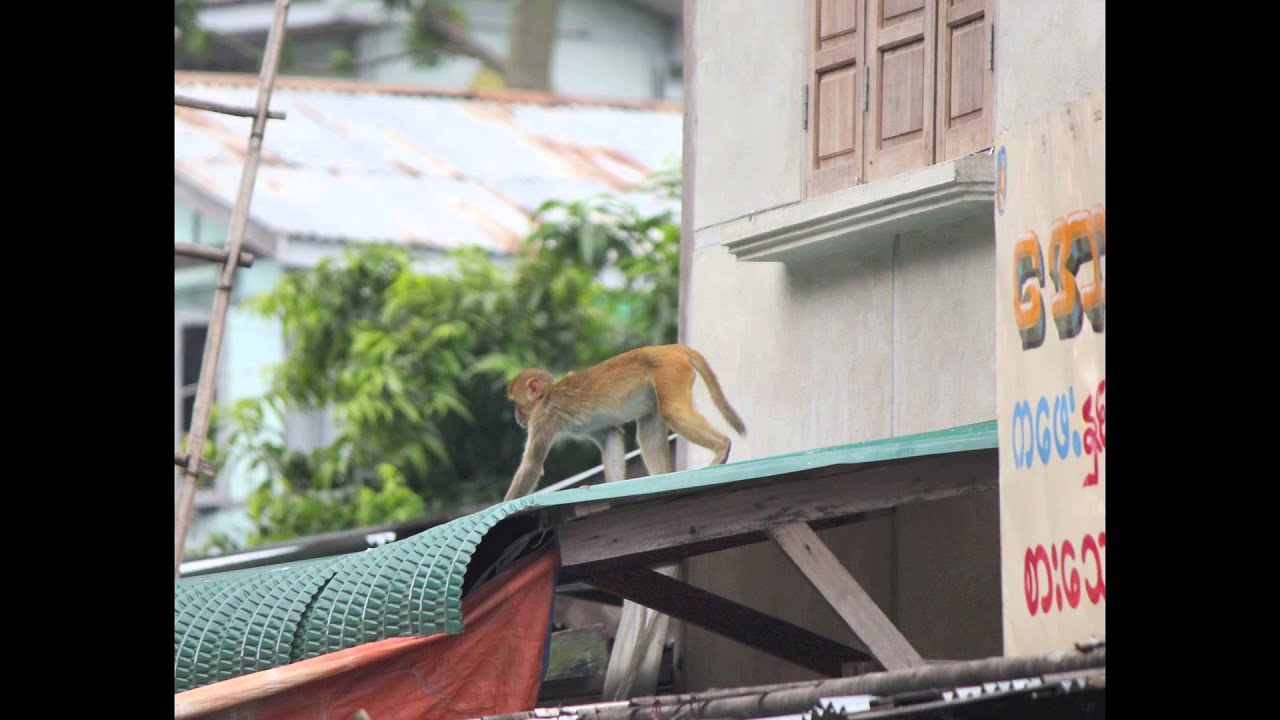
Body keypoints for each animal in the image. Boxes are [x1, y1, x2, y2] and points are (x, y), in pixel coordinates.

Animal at [502, 344, 746, 501]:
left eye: (517, 404)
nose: (516, 416)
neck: (548, 394)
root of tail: (670, 348)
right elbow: (611, 437)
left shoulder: (541, 419)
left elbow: (532, 465)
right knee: (649, 426)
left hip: (670, 370)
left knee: (672, 411)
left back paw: (722, 447)